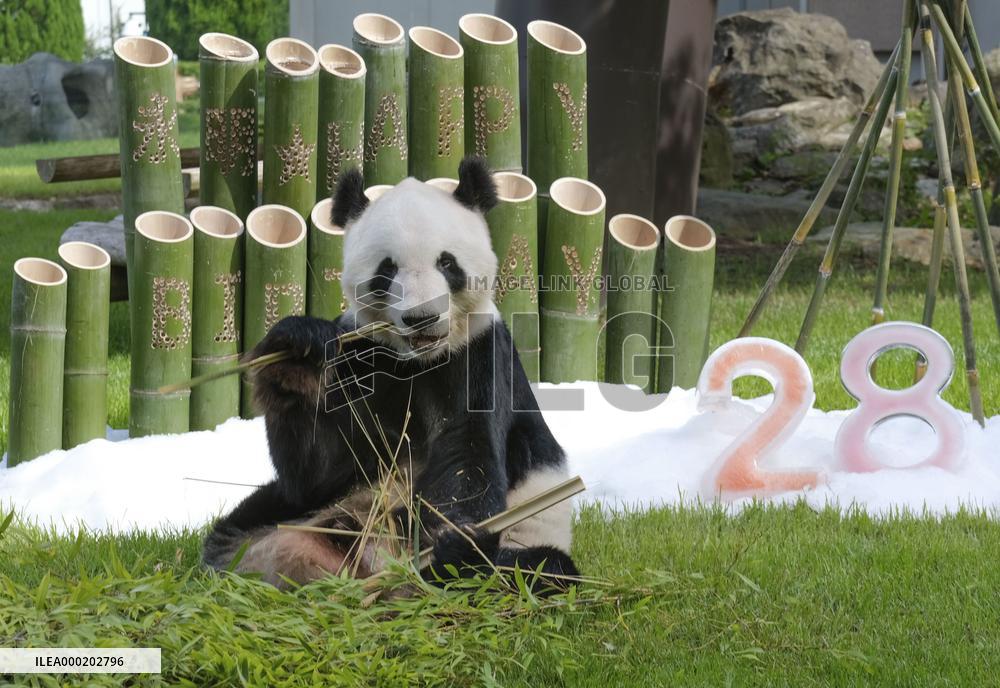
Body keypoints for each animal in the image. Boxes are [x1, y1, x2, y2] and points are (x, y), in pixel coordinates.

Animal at [203, 157, 579, 592]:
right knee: (245, 521)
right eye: (387, 270)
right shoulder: (358, 355)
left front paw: (454, 542)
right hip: (277, 512)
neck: (415, 360)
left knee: (537, 568)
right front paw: (297, 354)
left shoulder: (479, 356)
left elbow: (467, 451)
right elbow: (319, 470)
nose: (422, 318)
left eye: (447, 263)